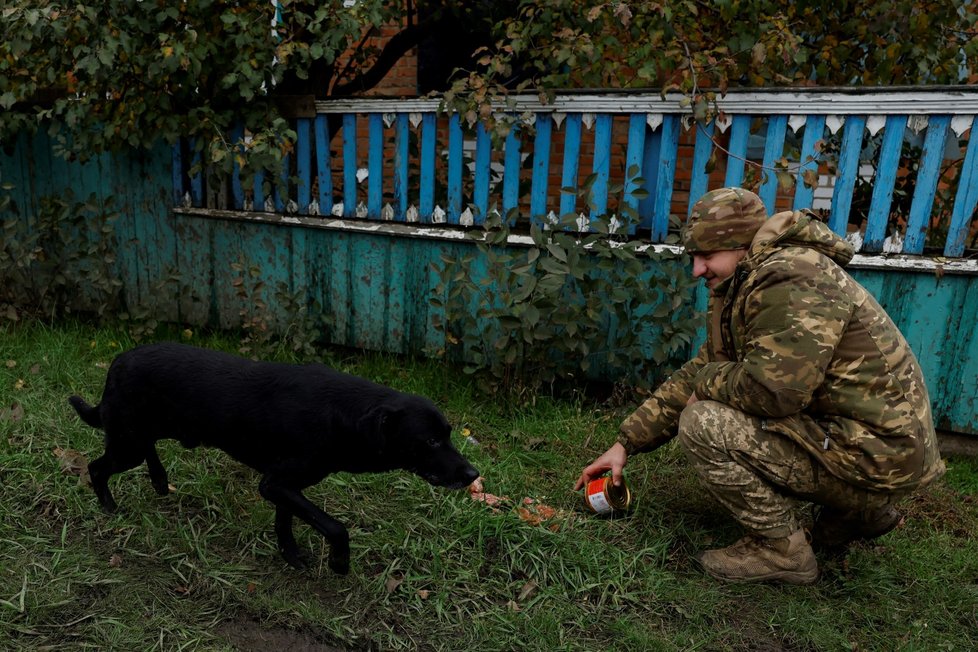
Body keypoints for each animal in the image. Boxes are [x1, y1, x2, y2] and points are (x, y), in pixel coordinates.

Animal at [68, 344, 480, 572]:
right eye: (430, 441)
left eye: (448, 434)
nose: (473, 474)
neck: (341, 416)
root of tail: (117, 362)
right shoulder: (277, 484)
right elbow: (335, 527)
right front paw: (339, 563)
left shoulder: (285, 486)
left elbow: (287, 522)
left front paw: (290, 555)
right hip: (127, 444)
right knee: (96, 468)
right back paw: (109, 507)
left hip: (137, 437)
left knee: (145, 452)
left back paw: (158, 480)